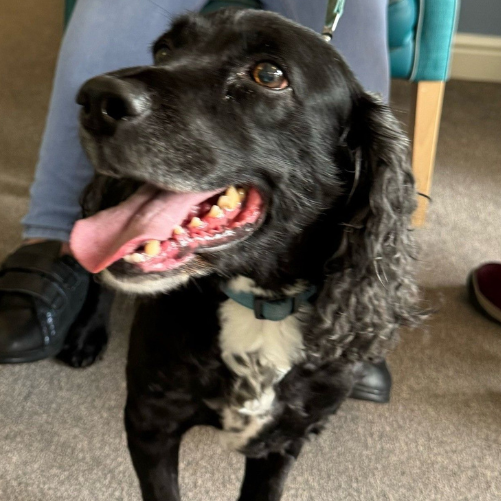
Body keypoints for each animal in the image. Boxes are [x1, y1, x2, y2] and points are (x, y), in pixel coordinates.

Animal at [61, 8, 422, 500]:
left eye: (269, 74)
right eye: (165, 50)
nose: (95, 98)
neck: (261, 301)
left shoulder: (284, 437)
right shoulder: (150, 419)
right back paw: (86, 334)